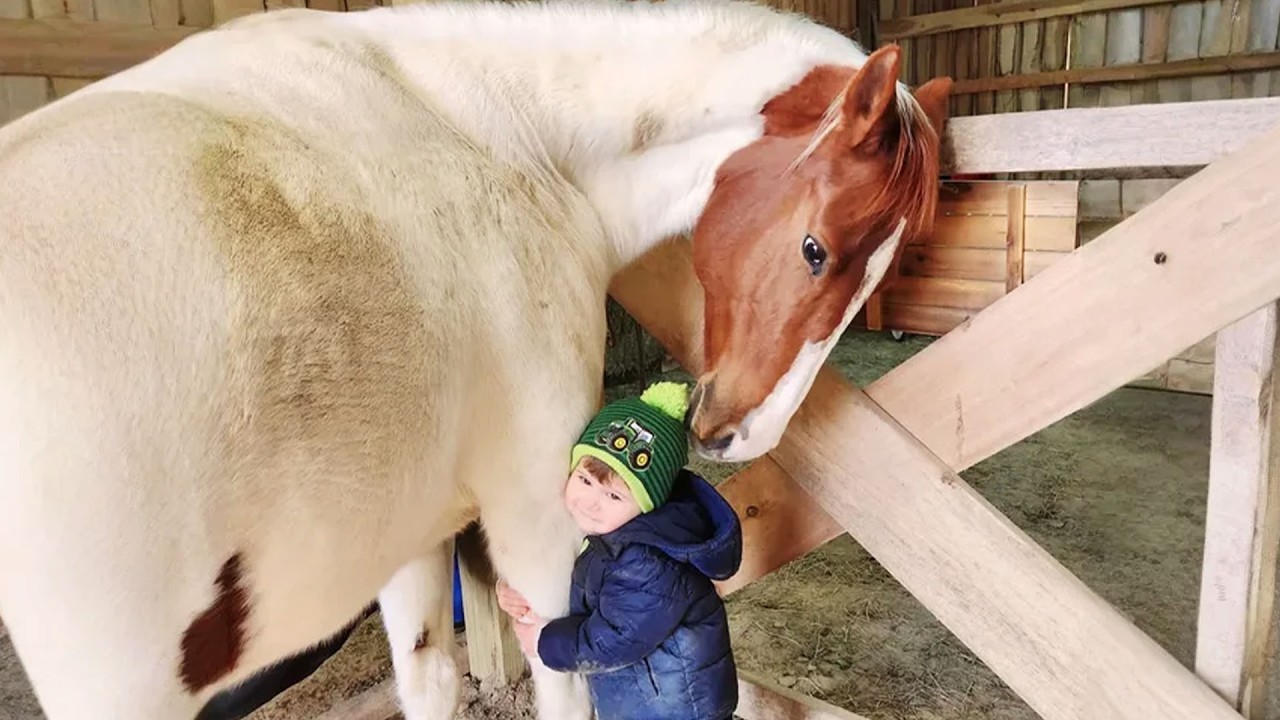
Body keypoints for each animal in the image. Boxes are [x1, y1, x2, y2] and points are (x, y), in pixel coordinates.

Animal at [0, 0, 950, 717]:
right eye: (816, 249)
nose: (745, 435)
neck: (506, 147)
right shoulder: (537, 516)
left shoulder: (414, 535)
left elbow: (430, 677)